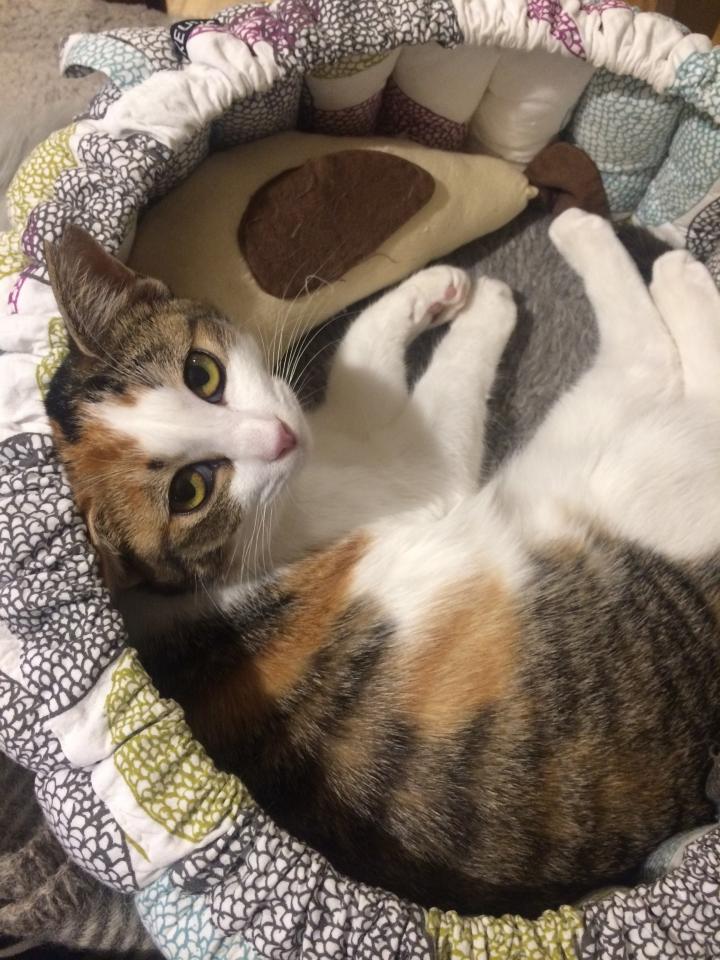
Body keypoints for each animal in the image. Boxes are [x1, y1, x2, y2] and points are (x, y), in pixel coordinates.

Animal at [44, 209, 720, 917]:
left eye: (202, 375)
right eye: (191, 490)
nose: (280, 438)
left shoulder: (344, 428)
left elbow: (358, 358)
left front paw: (432, 291)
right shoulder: (420, 472)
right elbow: (440, 391)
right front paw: (488, 308)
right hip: (601, 472)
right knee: (653, 369)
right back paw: (633, 255)